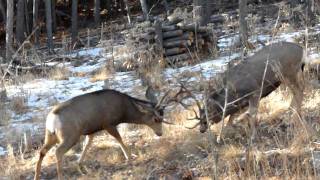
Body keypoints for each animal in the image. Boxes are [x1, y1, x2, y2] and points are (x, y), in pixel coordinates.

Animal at [35, 88, 172, 180]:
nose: (160, 133)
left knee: (42, 151)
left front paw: (80, 166)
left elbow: (88, 144)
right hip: (70, 135)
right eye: (156, 119)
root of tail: (52, 119)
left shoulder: (91, 130)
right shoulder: (108, 124)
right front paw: (129, 157)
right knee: (58, 151)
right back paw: (60, 176)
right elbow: (119, 139)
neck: (124, 111)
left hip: (51, 135)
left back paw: (37, 176)